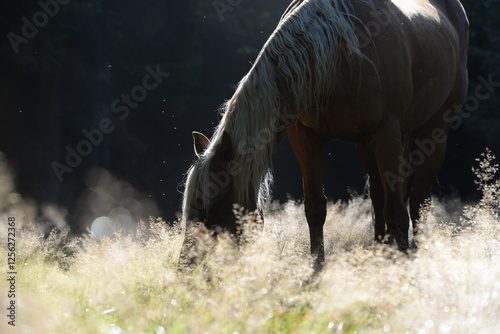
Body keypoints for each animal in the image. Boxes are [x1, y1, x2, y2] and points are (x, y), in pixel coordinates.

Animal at [183, 0, 468, 260]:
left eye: (209, 208)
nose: (187, 267)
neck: (340, 56)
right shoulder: (306, 139)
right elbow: (315, 208)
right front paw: (317, 267)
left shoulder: (388, 136)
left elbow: (398, 212)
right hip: (366, 146)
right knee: (378, 198)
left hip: (432, 133)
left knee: (419, 201)